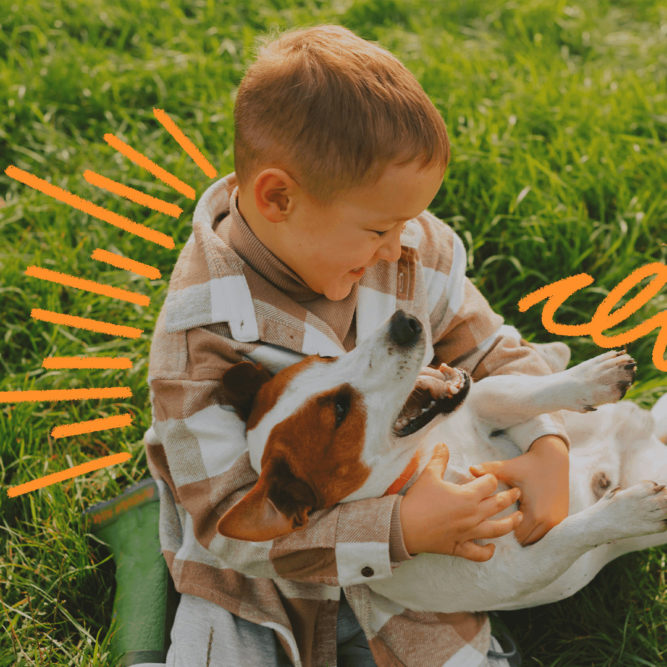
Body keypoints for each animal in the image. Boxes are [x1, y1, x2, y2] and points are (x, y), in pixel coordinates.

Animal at [217, 310, 664, 612]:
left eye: (324, 359)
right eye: (340, 410)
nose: (403, 321)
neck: (429, 461)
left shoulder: (482, 403)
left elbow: (520, 393)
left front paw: (591, 378)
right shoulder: (517, 568)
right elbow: (574, 533)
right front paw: (633, 512)